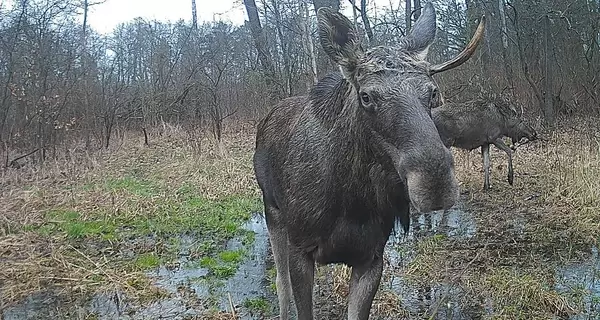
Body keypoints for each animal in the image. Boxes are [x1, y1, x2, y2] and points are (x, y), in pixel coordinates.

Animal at [251, 3, 486, 320]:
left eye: (433, 92)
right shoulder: (300, 248)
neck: (352, 201)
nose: (435, 182)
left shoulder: (372, 257)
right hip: (272, 211)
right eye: (365, 96)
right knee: (280, 283)